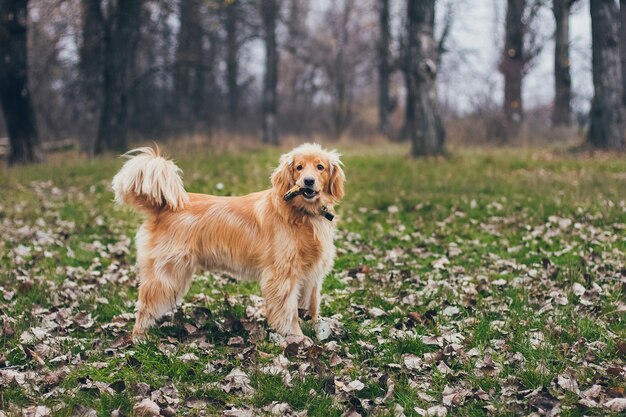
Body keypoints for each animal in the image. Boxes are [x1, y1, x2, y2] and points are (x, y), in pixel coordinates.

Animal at [112, 141, 346, 340]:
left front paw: (316, 328)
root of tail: (164, 206)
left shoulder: (312, 274)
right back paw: (140, 338)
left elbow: (311, 304)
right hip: (166, 273)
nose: (308, 181)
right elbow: (289, 312)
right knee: (144, 306)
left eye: (320, 167)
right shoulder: (282, 275)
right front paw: (297, 337)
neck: (303, 214)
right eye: (299, 167)